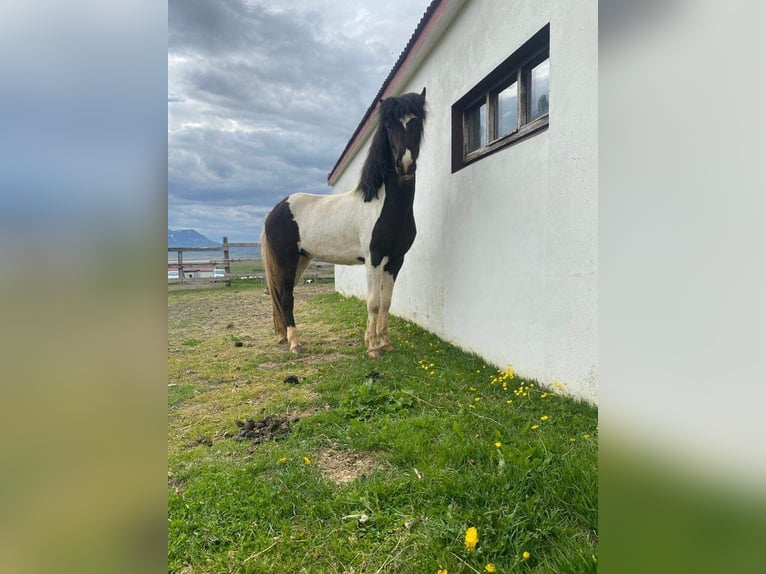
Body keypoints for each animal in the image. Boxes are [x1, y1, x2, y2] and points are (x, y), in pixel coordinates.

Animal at [260, 88, 428, 358]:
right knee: (286, 297)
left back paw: (285, 337)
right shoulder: (374, 259)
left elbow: (387, 302)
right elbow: (373, 302)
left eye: (417, 121)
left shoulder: (395, 260)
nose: (404, 165)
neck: (384, 205)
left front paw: (385, 342)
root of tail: (277, 209)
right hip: (287, 260)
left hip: (301, 259)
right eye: (388, 125)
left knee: (282, 295)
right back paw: (295, 344)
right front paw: (372, 347)